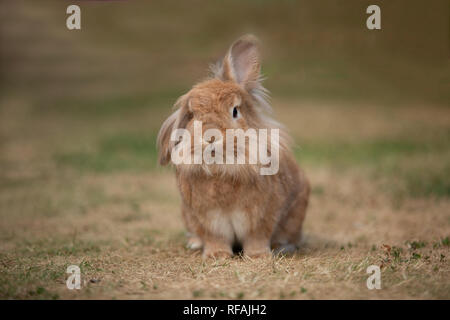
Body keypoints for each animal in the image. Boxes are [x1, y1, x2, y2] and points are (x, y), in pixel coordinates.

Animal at [156, 35, 308, 258]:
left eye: (235, 111)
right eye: (193, 115)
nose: (210, 136)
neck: (222, 167)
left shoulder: (262, 218)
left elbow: (257, 238)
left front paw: (258, 256)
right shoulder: (208, 221)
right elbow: (215, 238)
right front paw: (217, 255)